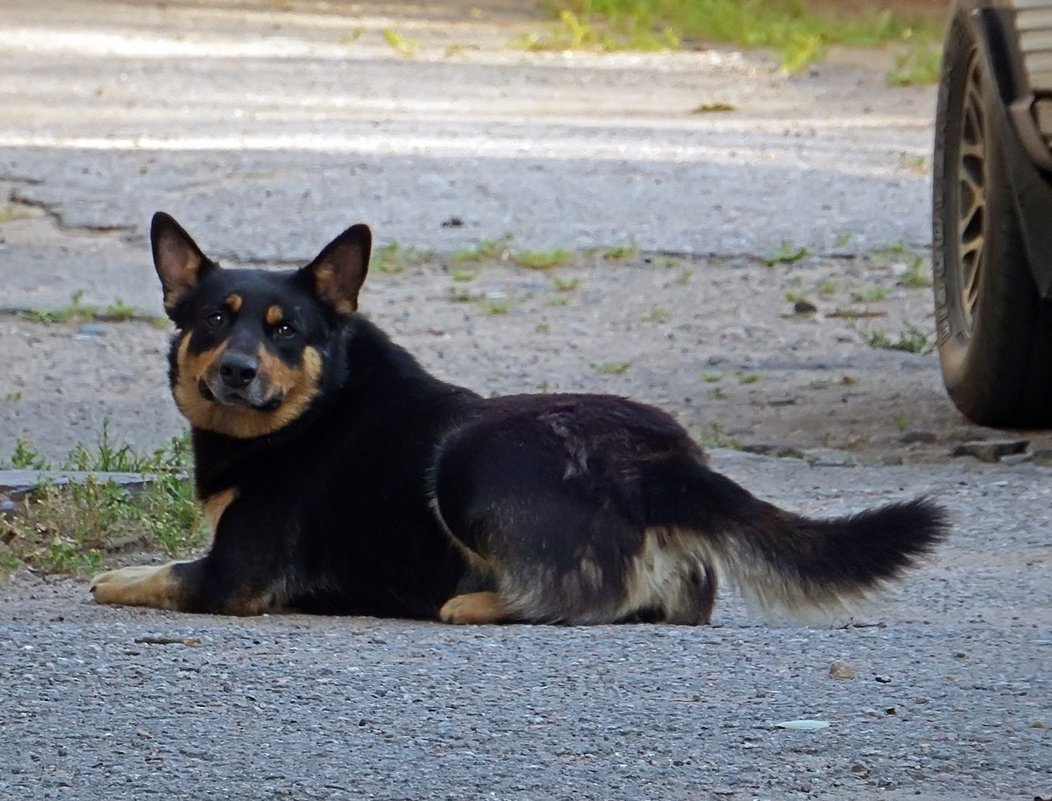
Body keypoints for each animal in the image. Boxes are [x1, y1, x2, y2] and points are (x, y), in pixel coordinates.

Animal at [88, 212, 946, 623]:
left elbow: (144, 577)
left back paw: (478, 601)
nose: (236, 370)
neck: (313, 410)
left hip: (466, 460)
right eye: (213, 319)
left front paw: (115, 576)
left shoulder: (235, 576)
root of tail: (667, 457)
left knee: (584, 595)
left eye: (285, 329)